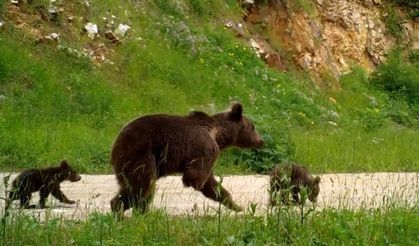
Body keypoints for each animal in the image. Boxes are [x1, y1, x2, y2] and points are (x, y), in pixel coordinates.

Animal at [110, 102, 264, 213]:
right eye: (252, 127)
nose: (261, 141)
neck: (218, 134)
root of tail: (116, 141)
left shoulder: (208, 157)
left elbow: (212, 184)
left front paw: (237, 206)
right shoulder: (205, 149)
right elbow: (195, 178)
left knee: (137, 187)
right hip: (140, 153)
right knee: (142, 185)